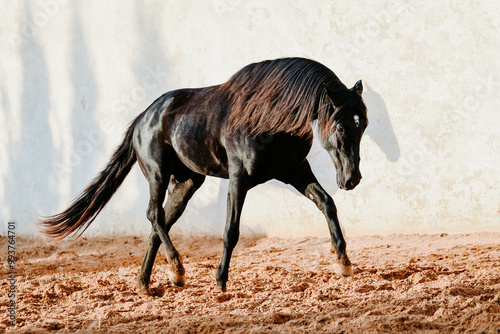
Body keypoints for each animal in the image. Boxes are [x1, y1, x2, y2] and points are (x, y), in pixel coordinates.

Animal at [40, 58, 368, 294]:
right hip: (158, 175)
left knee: (160, 223)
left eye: (362, 124)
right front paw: (220, 282)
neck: (268, 117)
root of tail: (143, 118)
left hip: (187, 182)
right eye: (341, 127)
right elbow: (230, 231)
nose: (352, 179)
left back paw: (147, 283)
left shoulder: (294, 171)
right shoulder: (239, 180)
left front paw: (344, 264)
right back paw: (176, 270)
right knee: (154, 215)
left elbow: (327, 204)